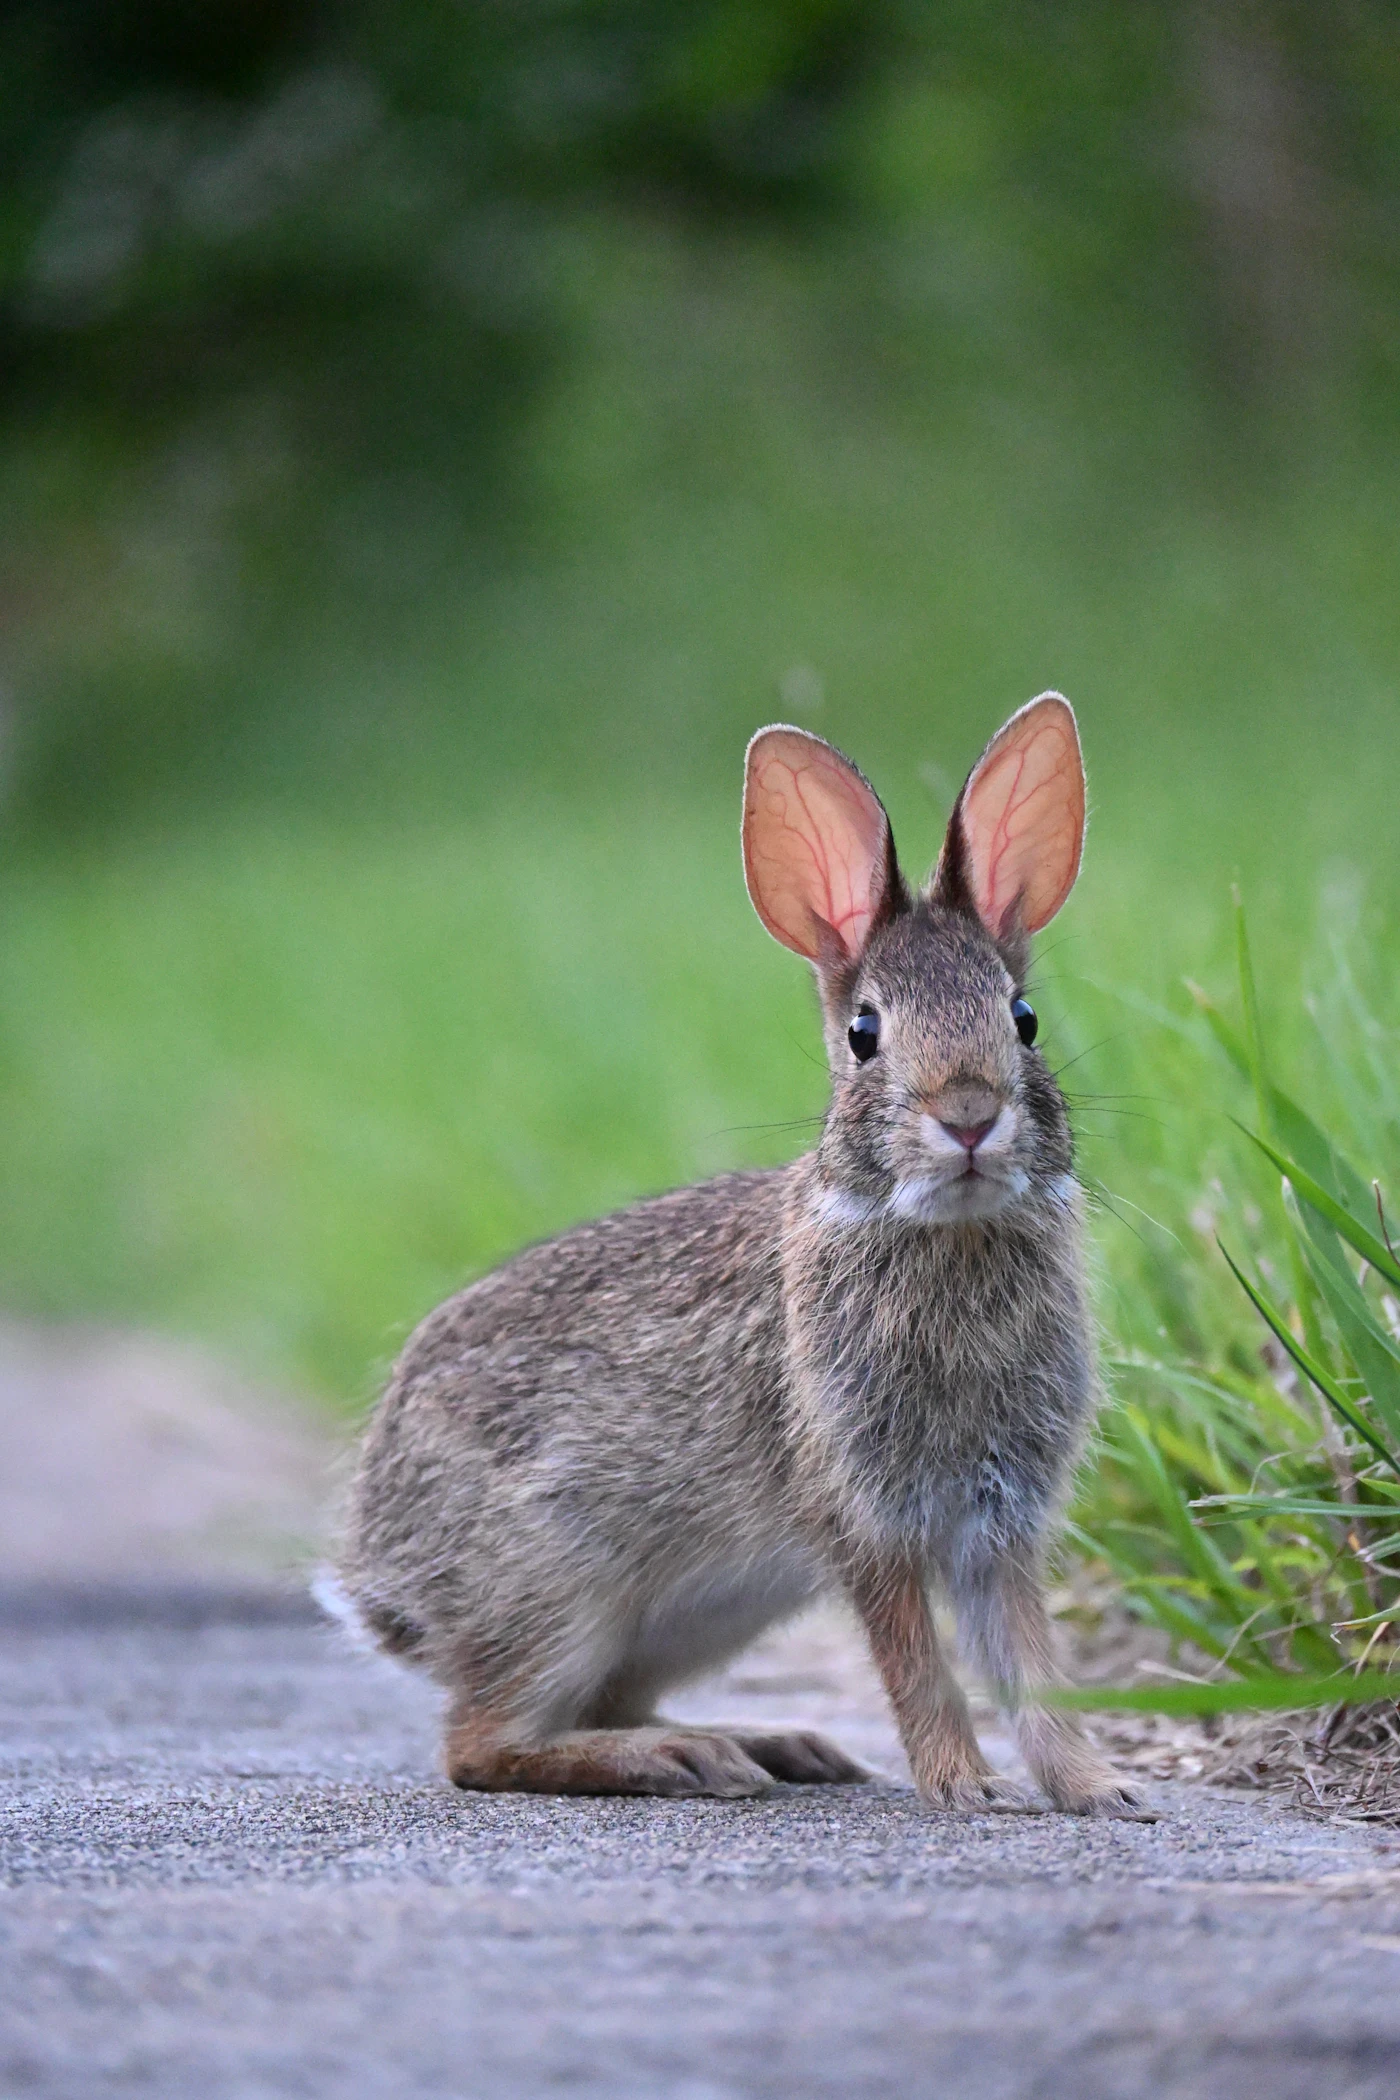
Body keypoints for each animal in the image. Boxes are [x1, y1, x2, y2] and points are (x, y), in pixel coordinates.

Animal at [329, 693, 1147, 1816]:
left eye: (1022, 1022)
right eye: (863, 1034)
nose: (970, 1116)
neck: (945, 1233)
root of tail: (380, 1572)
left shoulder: (1001, 1517)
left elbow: (1029, 1664)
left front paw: (1094, 1788)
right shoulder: (862, 1513)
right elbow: (919, 1667)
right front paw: (963, 1789)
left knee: (596, 1703)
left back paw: (762, 1742)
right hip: (558, 1586)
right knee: (481, 1745)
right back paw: (681, 1760)